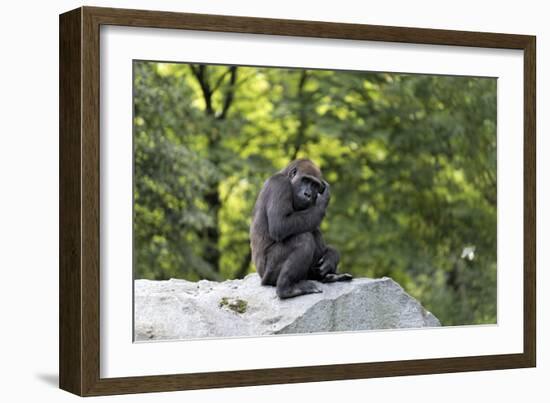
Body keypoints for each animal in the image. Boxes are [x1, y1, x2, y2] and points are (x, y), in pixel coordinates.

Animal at [251, 159, 354, 300]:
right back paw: (286, 289)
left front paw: (332, 255)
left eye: (315, 185)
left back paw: (327, 277)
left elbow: (311, 222)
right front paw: (323, 200)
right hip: (268, 275)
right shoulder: (280, 185)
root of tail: (261, 278)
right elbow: (280, 225)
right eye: (305, 180)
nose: (308, 194)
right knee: (303, 239)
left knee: (313, 232)